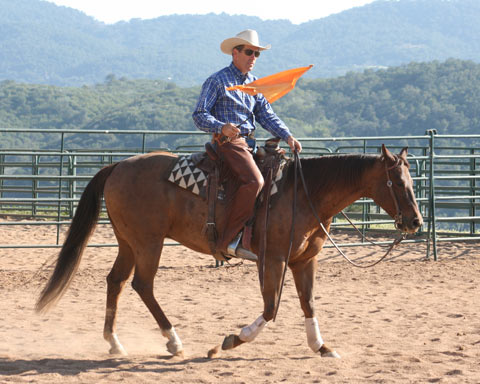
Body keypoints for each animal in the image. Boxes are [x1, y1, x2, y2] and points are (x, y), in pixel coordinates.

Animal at [35, 143, 422, 356]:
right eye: (396, 181)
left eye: (412, 180)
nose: (415, 221)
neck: (303, 192)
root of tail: (118, 165)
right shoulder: (274, 259)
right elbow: (271, 309)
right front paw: (233, 339)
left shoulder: (303, 261)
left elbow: (308, 304)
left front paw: (321, 347)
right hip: (148, 242)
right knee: (142, 285)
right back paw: (173, 340)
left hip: (128, 241)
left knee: (115, 281)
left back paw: (115, 343)